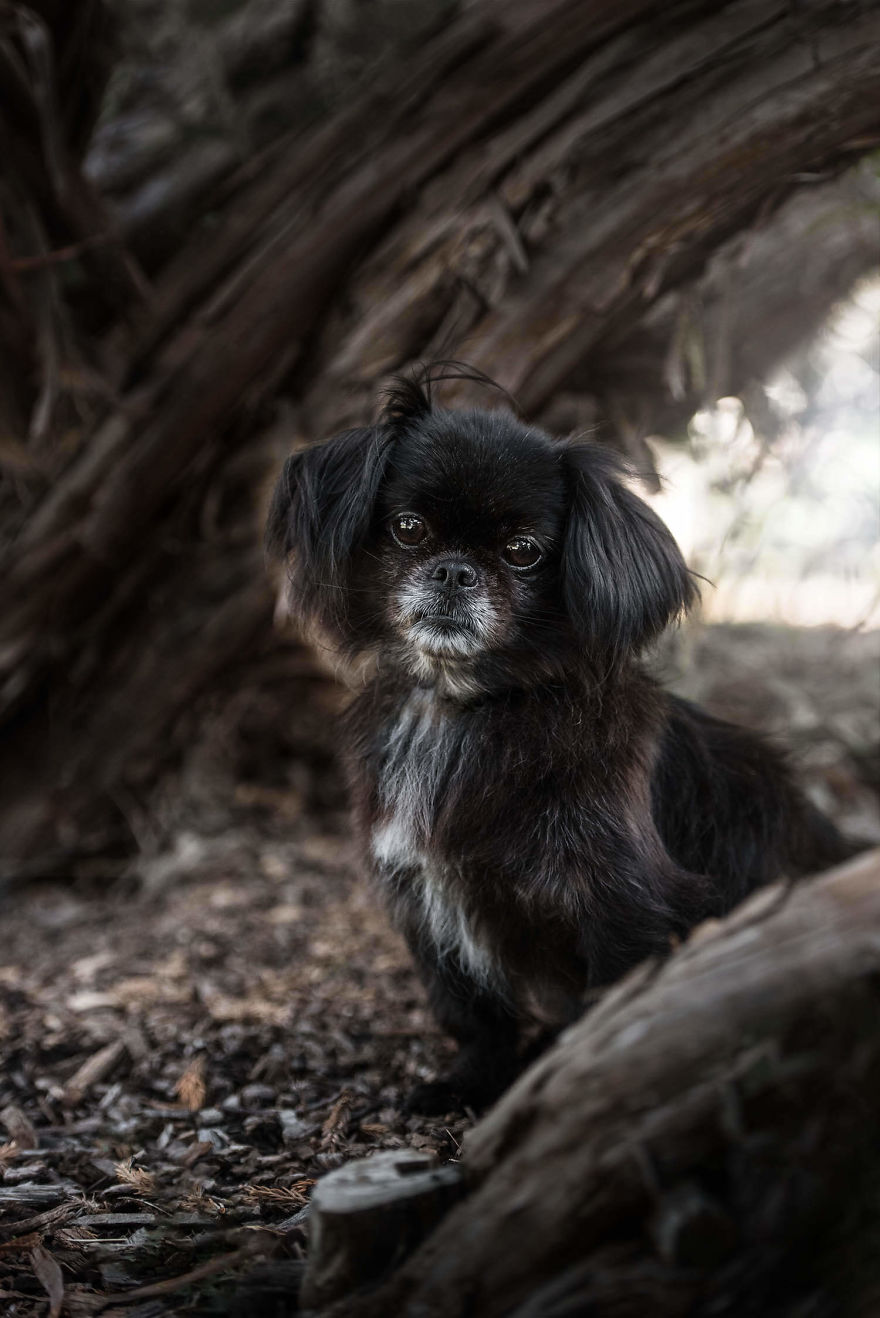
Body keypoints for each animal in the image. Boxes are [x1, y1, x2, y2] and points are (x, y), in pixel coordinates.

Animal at [266, 371, 853, 1112]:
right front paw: (468, 1084)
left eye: (523, 552)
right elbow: (474, 1016)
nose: (454, 571)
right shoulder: (424, 901)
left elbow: (613, 1002)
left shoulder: (621, 903)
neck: (468, 705)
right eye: (408, 528)